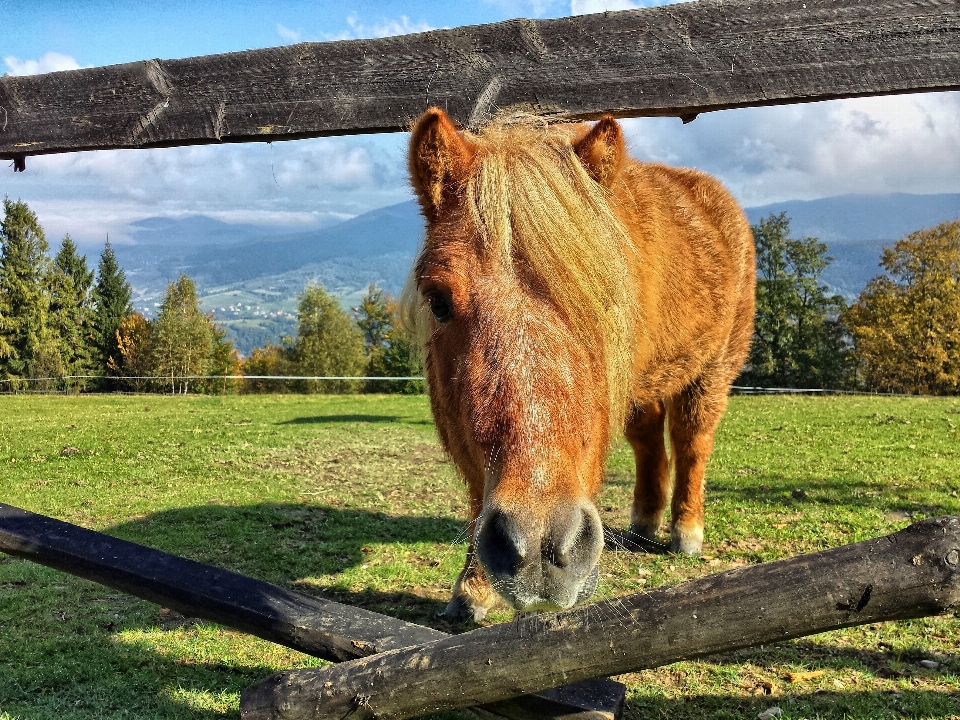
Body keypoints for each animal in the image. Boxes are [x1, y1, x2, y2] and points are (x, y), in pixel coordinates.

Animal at [402, 107, 752, 624]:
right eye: (439, 302)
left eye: (607, 296)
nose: (539, 546)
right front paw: (473, 588)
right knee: (649, 439)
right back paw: (645, 522)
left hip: (712, 371)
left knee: (692, 441)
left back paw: (686, 531)